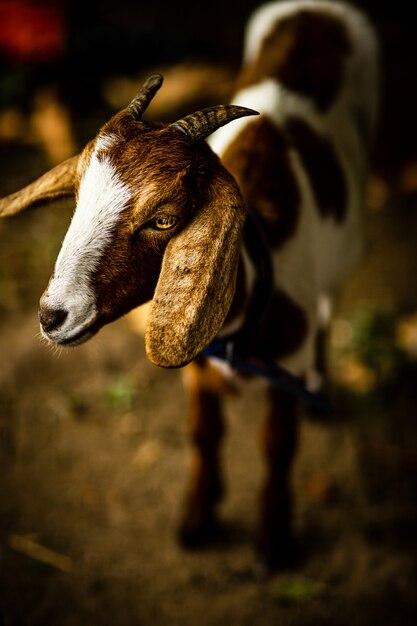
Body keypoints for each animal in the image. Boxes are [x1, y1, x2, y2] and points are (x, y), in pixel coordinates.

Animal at [0, 0, 376, 568]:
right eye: (78, 198)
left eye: (164, 219)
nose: (52, 316)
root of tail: (318, 10)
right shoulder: (197, 365)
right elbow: (204, 434)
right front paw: (197, 519)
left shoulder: (284, 370)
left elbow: (277, 447)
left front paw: (274, 542)